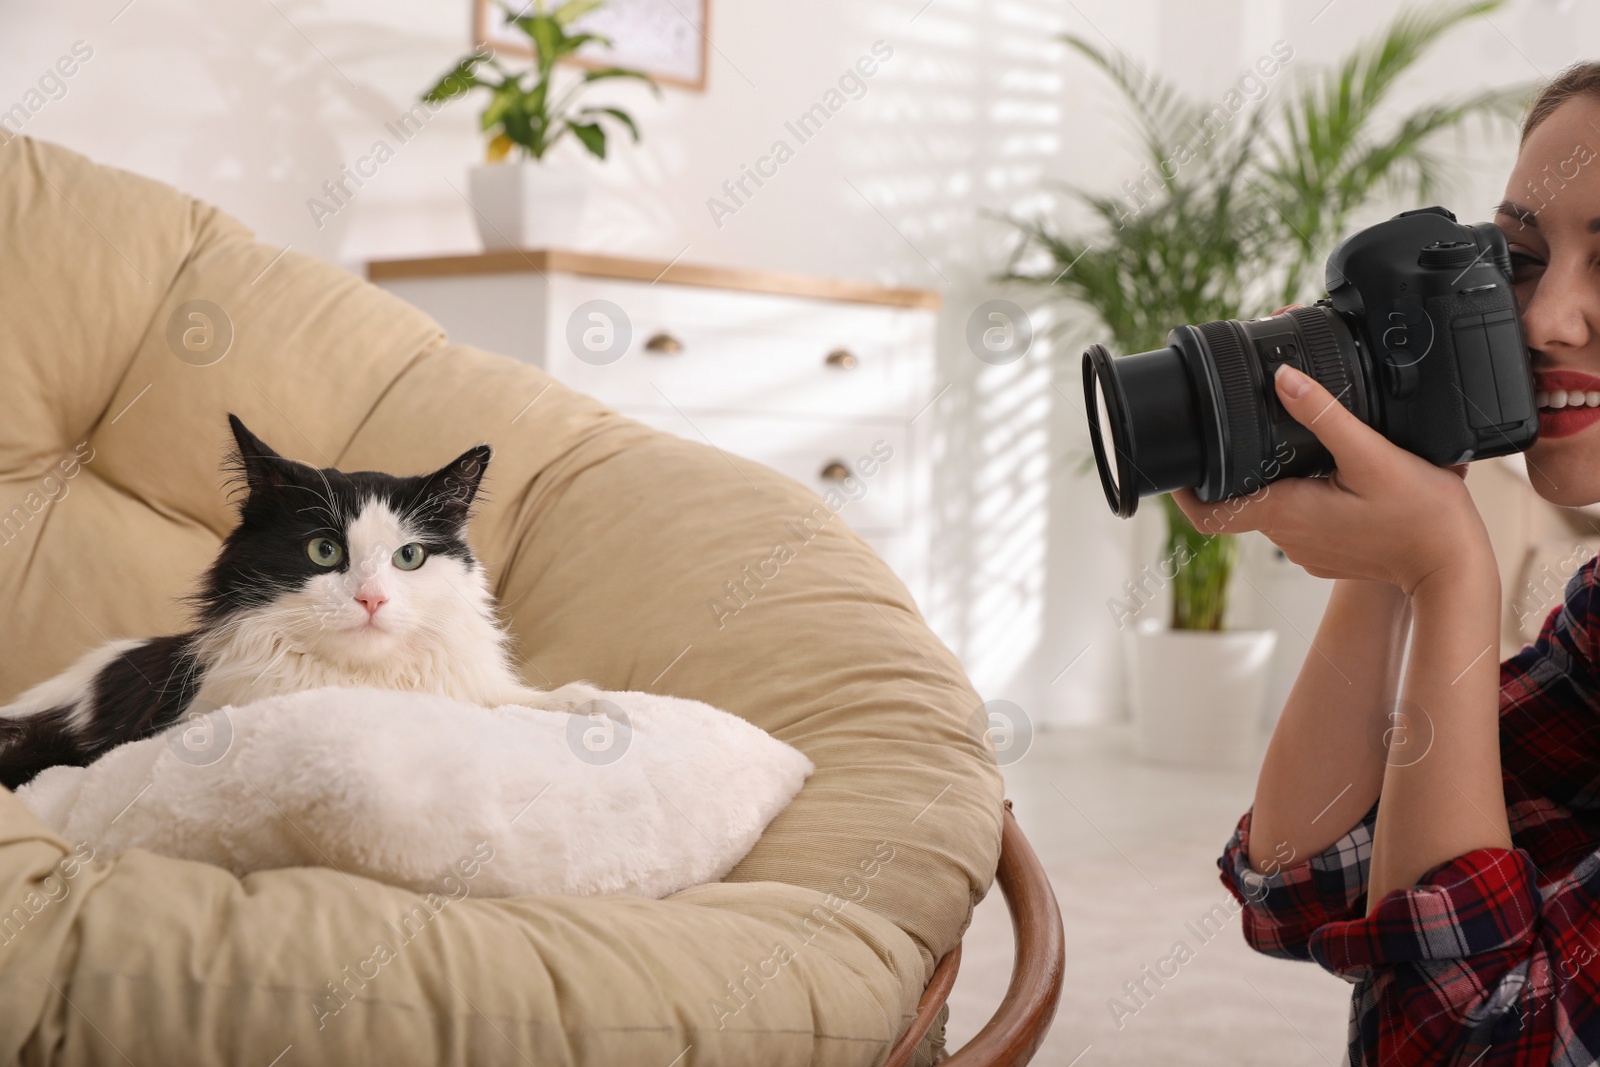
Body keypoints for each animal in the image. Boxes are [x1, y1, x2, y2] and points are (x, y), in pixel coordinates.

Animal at [0, 415, 598, 793]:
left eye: (409, 557)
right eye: (323, 550)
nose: (371, 597)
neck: (361, 684)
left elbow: (520, 700)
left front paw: (585, 703)